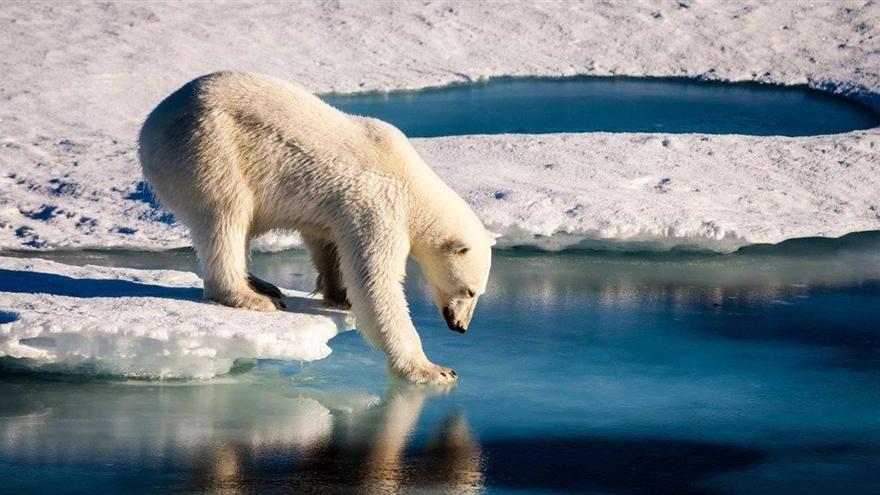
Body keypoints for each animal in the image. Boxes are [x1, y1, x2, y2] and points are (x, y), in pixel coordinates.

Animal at [141, 71, 492, 386]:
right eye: (470, 291)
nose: (460, 326)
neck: (412, 183)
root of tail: (149, 127)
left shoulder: (337, 209)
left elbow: (327, 242)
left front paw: (339, 294)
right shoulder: (379, 206)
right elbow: (376, 283)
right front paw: (433, 369)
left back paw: (262, 284)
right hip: (209, 148)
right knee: (227, 215)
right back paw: (252, 297)